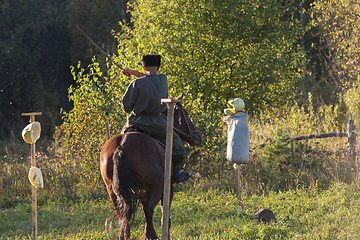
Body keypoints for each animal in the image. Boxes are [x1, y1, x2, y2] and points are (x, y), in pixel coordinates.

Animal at [101, 95, 201, 238]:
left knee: (122, 214)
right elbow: (163, 210)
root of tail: (121, 147)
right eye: (185, 114)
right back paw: (152, 235)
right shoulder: (166, 187)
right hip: (157, 185)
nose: (198, 137)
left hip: (112, 189)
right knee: (148, 209)